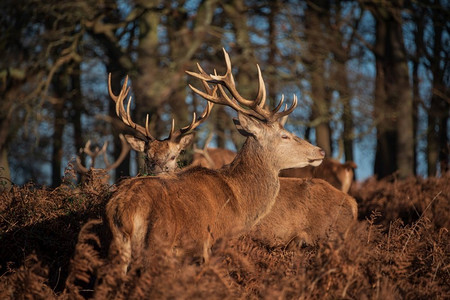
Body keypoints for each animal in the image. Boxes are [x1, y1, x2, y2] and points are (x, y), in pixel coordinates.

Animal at [104, 49, 324, 274]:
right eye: (285, 136)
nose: (320, 151)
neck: (239, 203)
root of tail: (124, 210)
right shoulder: (214, 242)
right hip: (159, 242)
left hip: (118, 246)